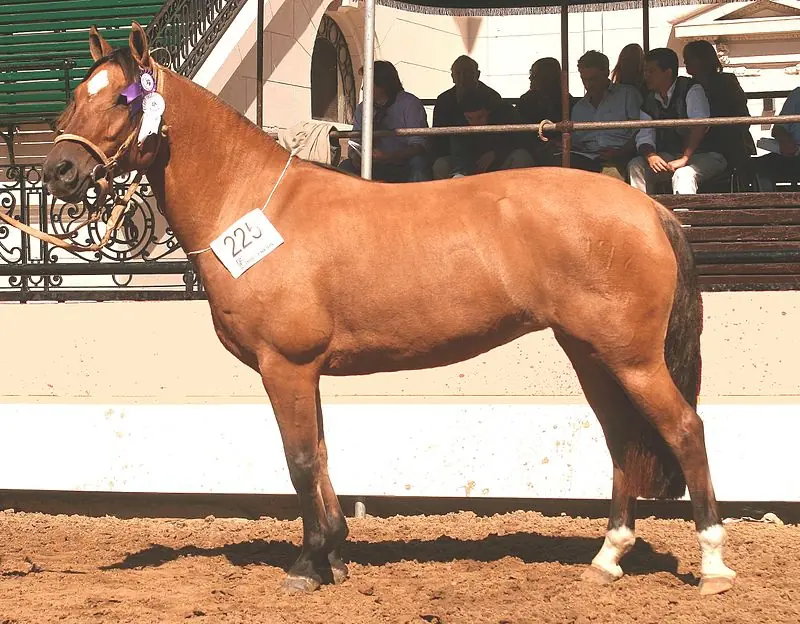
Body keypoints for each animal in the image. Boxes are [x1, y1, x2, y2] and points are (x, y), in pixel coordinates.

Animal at [42, 22, 736, 596]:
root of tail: (647, 206)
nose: (59, 172)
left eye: (120, 99)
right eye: (77, 93)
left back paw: (713, 566)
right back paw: (607, 558)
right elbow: (320, 455)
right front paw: (334, 557)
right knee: (622, 442)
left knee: (686, 430)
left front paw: (307, 566)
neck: (254, 204)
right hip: (593, 355)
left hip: (632, 358)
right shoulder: (305, 372)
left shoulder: (285, 365)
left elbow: (300, 460)